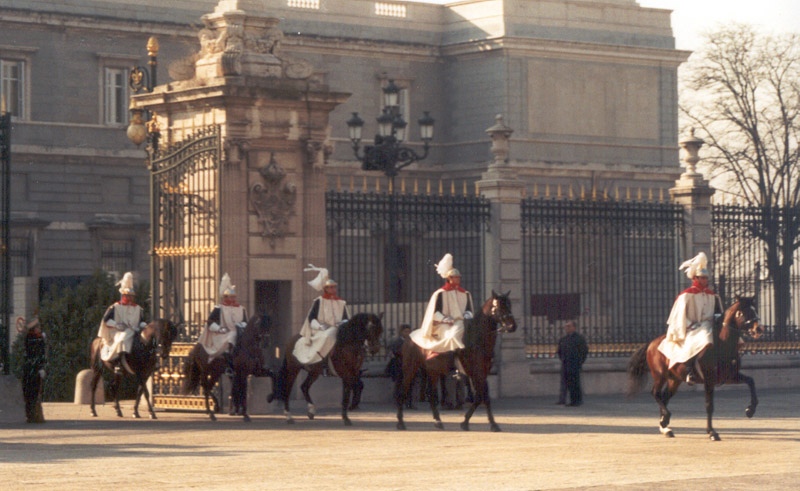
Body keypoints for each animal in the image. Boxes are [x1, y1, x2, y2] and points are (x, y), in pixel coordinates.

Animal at [396, 290, 520, 432]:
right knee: (402, 391)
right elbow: (482, 397)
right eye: (500, 306)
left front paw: (477, 422)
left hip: (433, 372)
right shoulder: (476, 373)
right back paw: (401, 422)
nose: (512, 326)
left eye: (509, 305)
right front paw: (479, 423)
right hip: (410, 368)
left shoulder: (483, 373)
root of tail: (409, 337)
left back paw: (438, 421)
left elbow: (482, 397)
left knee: (431, 395)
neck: (477, 338)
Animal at [628, 296, 764, 442]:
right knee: (655, 393)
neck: (722, 344)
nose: (759, 329)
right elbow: (709, 406)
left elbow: (751, 381)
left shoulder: (730, 377)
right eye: (744, 312)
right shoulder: (709, 381)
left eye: (755, 310)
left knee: (664, 397)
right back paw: (665, 421)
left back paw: (665, 427)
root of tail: (651, 343)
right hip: (660, 376)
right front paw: (712, 432)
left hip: (674, 380)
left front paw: (750, 410)